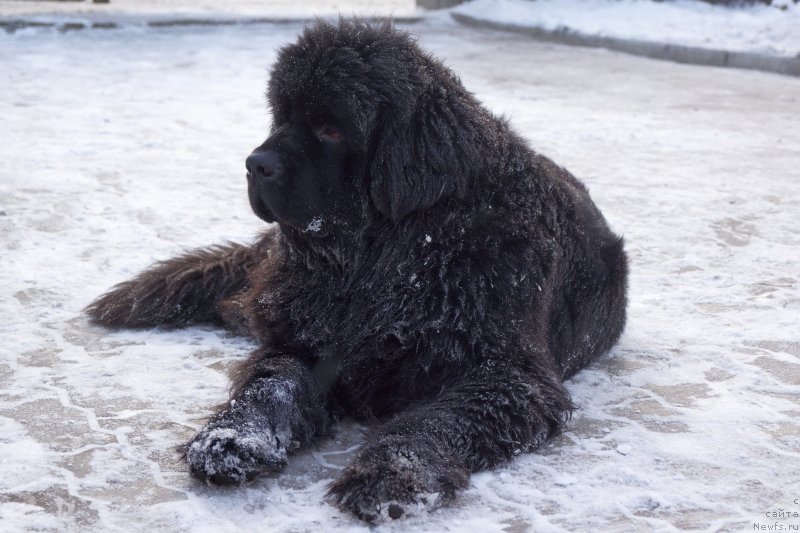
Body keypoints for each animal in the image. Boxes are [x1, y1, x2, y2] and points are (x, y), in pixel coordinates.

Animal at [86, 19, 624, 524]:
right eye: (282, 116)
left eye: (331, 128)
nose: (254, 164)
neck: (386, 259)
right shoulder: (305, 340)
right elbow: (270, 383)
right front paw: (233, 438)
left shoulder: (508, 377)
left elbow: (430, 422)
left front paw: (390, 475)